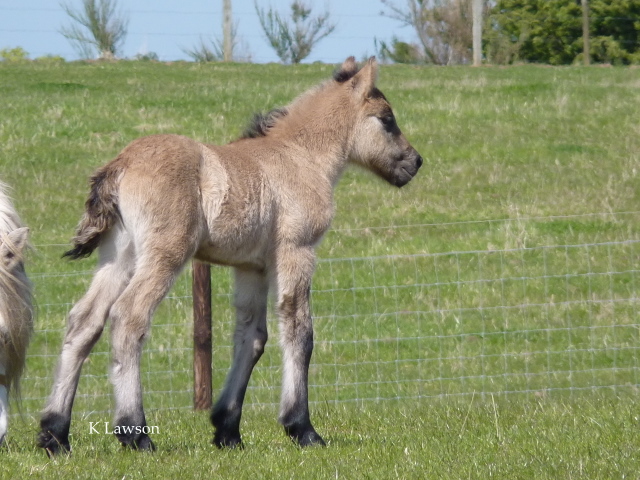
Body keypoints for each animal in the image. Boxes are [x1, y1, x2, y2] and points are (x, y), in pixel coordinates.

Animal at [37, 56, 422, 455]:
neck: (301, 157)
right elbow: (299, 330)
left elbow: (251, 337)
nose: (416, 162)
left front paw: (227, 430)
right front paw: (302, 428)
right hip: (166, 253)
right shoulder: (296, 250)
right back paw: (135, 432)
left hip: (120, 255)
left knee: (85, 320)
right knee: (128, 317)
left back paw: (55, 433)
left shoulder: (252, 268)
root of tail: (121, 164)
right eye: (386, 119)